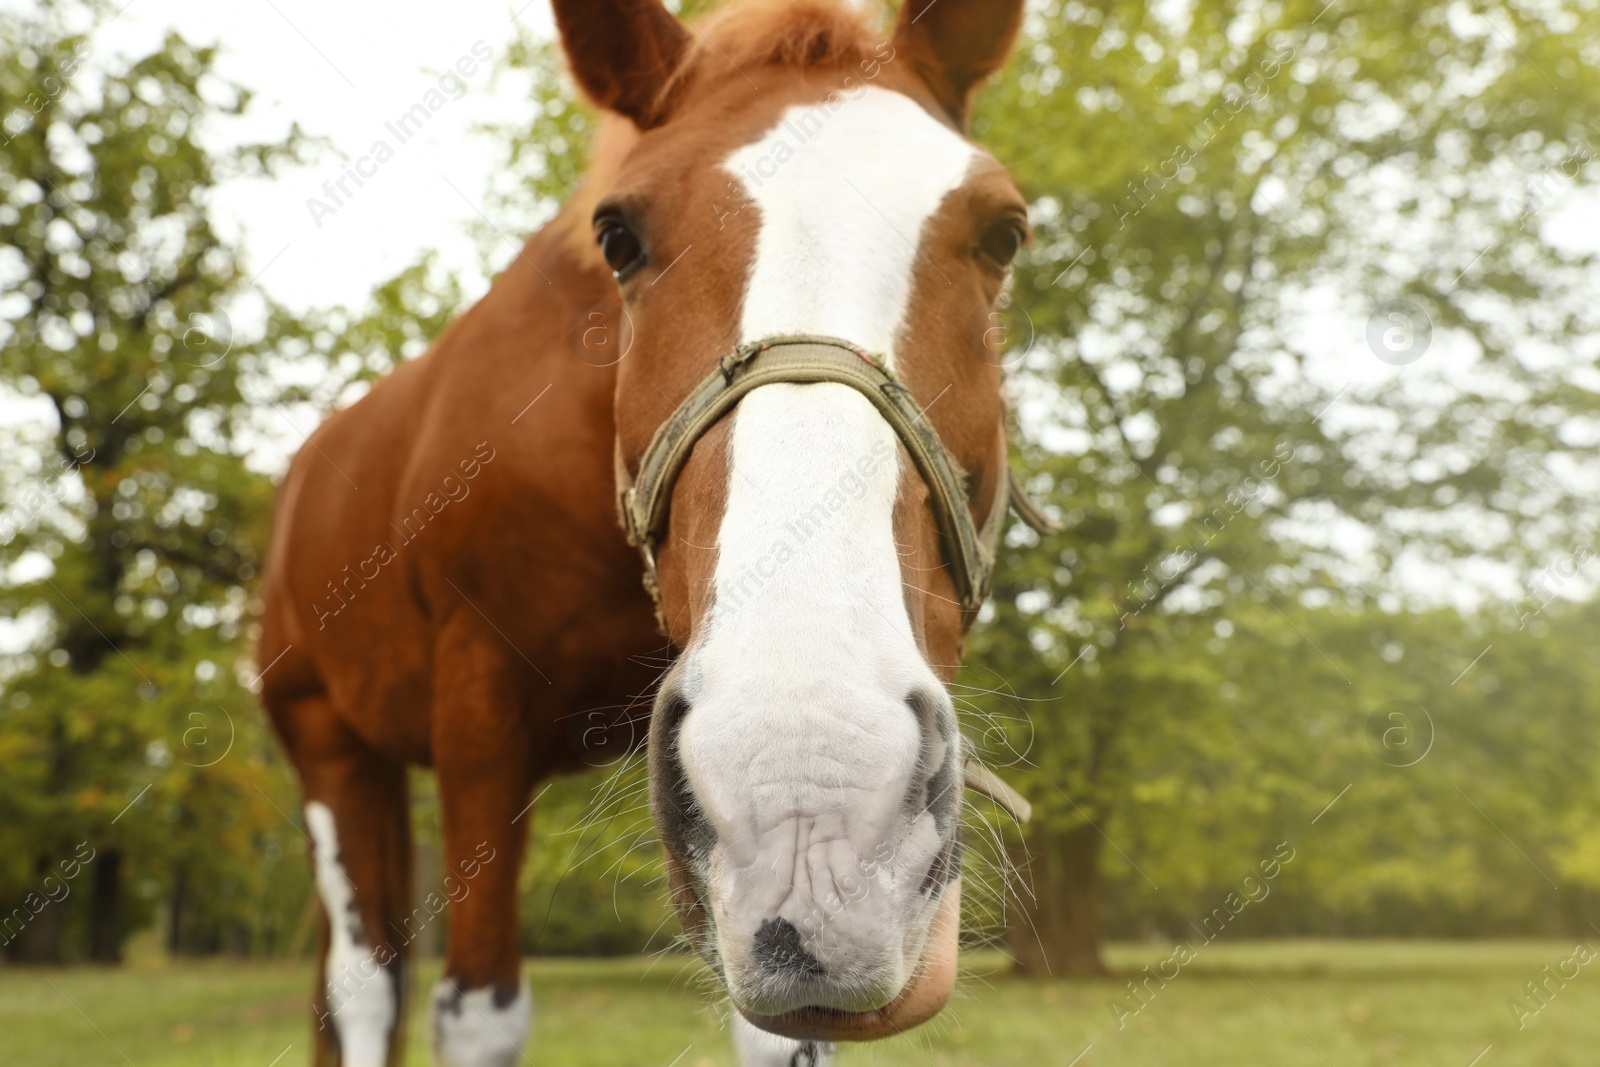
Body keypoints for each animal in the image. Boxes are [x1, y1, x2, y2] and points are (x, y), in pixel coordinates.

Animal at [259, 0, 1036, 1062]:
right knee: (366, 987)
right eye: (618, 236)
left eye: (1003, 232)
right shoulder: (477, 720)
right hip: (330, 749)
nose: (807, 784)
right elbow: (476, 1010)